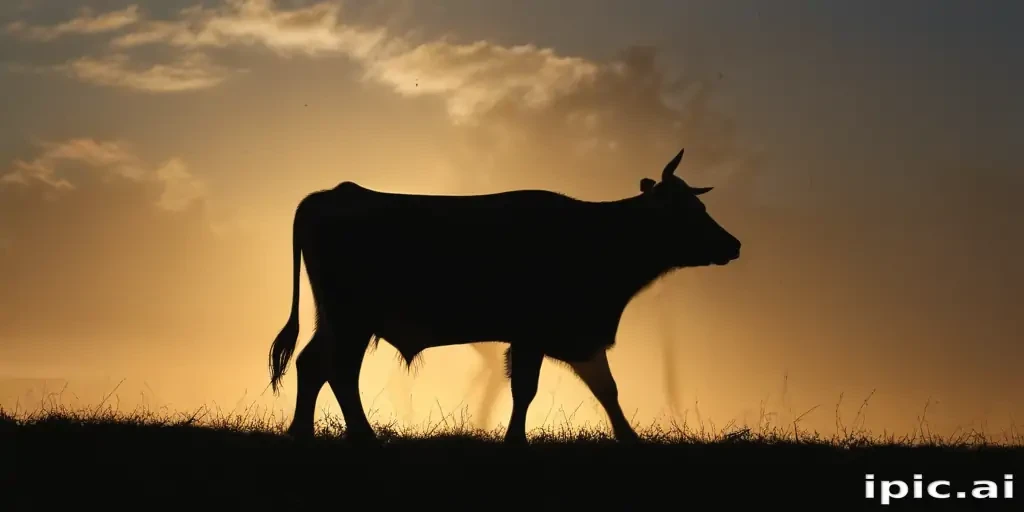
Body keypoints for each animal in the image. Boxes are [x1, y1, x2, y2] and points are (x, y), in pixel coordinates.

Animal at [268, 148, 741, 444]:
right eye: (692, 211)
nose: (734, 245)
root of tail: (331, 194)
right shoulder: (533, 334)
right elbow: (526, 390)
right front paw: (516, 440)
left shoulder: (576, 335)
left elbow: (607, 389)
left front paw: (630, 438)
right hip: (352, 318)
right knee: (339, 371)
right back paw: (357, 436)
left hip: (336, 318)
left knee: (314, 364)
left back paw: (304, 432)